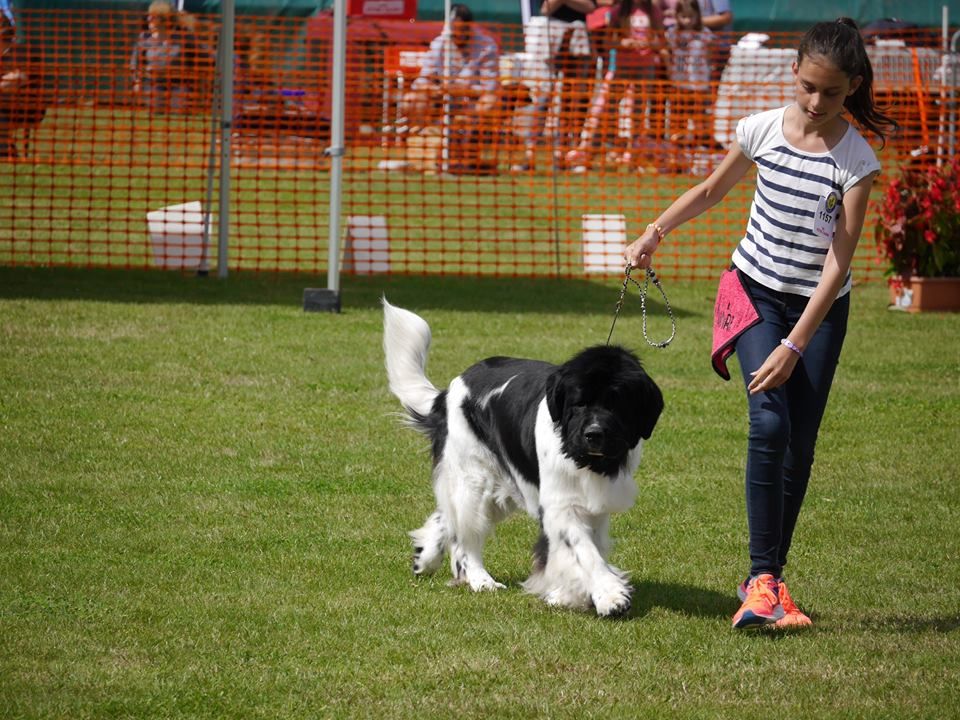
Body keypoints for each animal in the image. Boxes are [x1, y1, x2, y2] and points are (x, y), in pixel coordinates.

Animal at [380, 300, 660, 616]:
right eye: (578, 404)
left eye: (617, 405)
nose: (593, 433)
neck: (587, 460)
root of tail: (447, 393)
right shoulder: (560, 505)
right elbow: (584, 551)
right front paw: (610, 596)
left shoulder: (594, 504)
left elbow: (589, 547)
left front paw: (569, 595)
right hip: (475, 477)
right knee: (465, 537)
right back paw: (481, 580)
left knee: (448, 516)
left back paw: (425, 556)